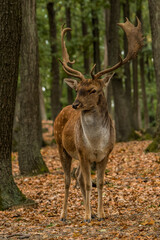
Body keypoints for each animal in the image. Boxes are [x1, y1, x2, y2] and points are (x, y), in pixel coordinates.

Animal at [53, 17, 144, 222]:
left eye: (93, 90)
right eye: (77, 89)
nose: (76, 104)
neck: (95, 143)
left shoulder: (106, 154)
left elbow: (100, 183)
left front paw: (101, 213)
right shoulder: (83, 153)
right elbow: (88, 183)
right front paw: (86, 216)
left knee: (77, 176)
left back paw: (92, 212)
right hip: (62, 147)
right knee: (68, 179)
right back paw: (64, 214)